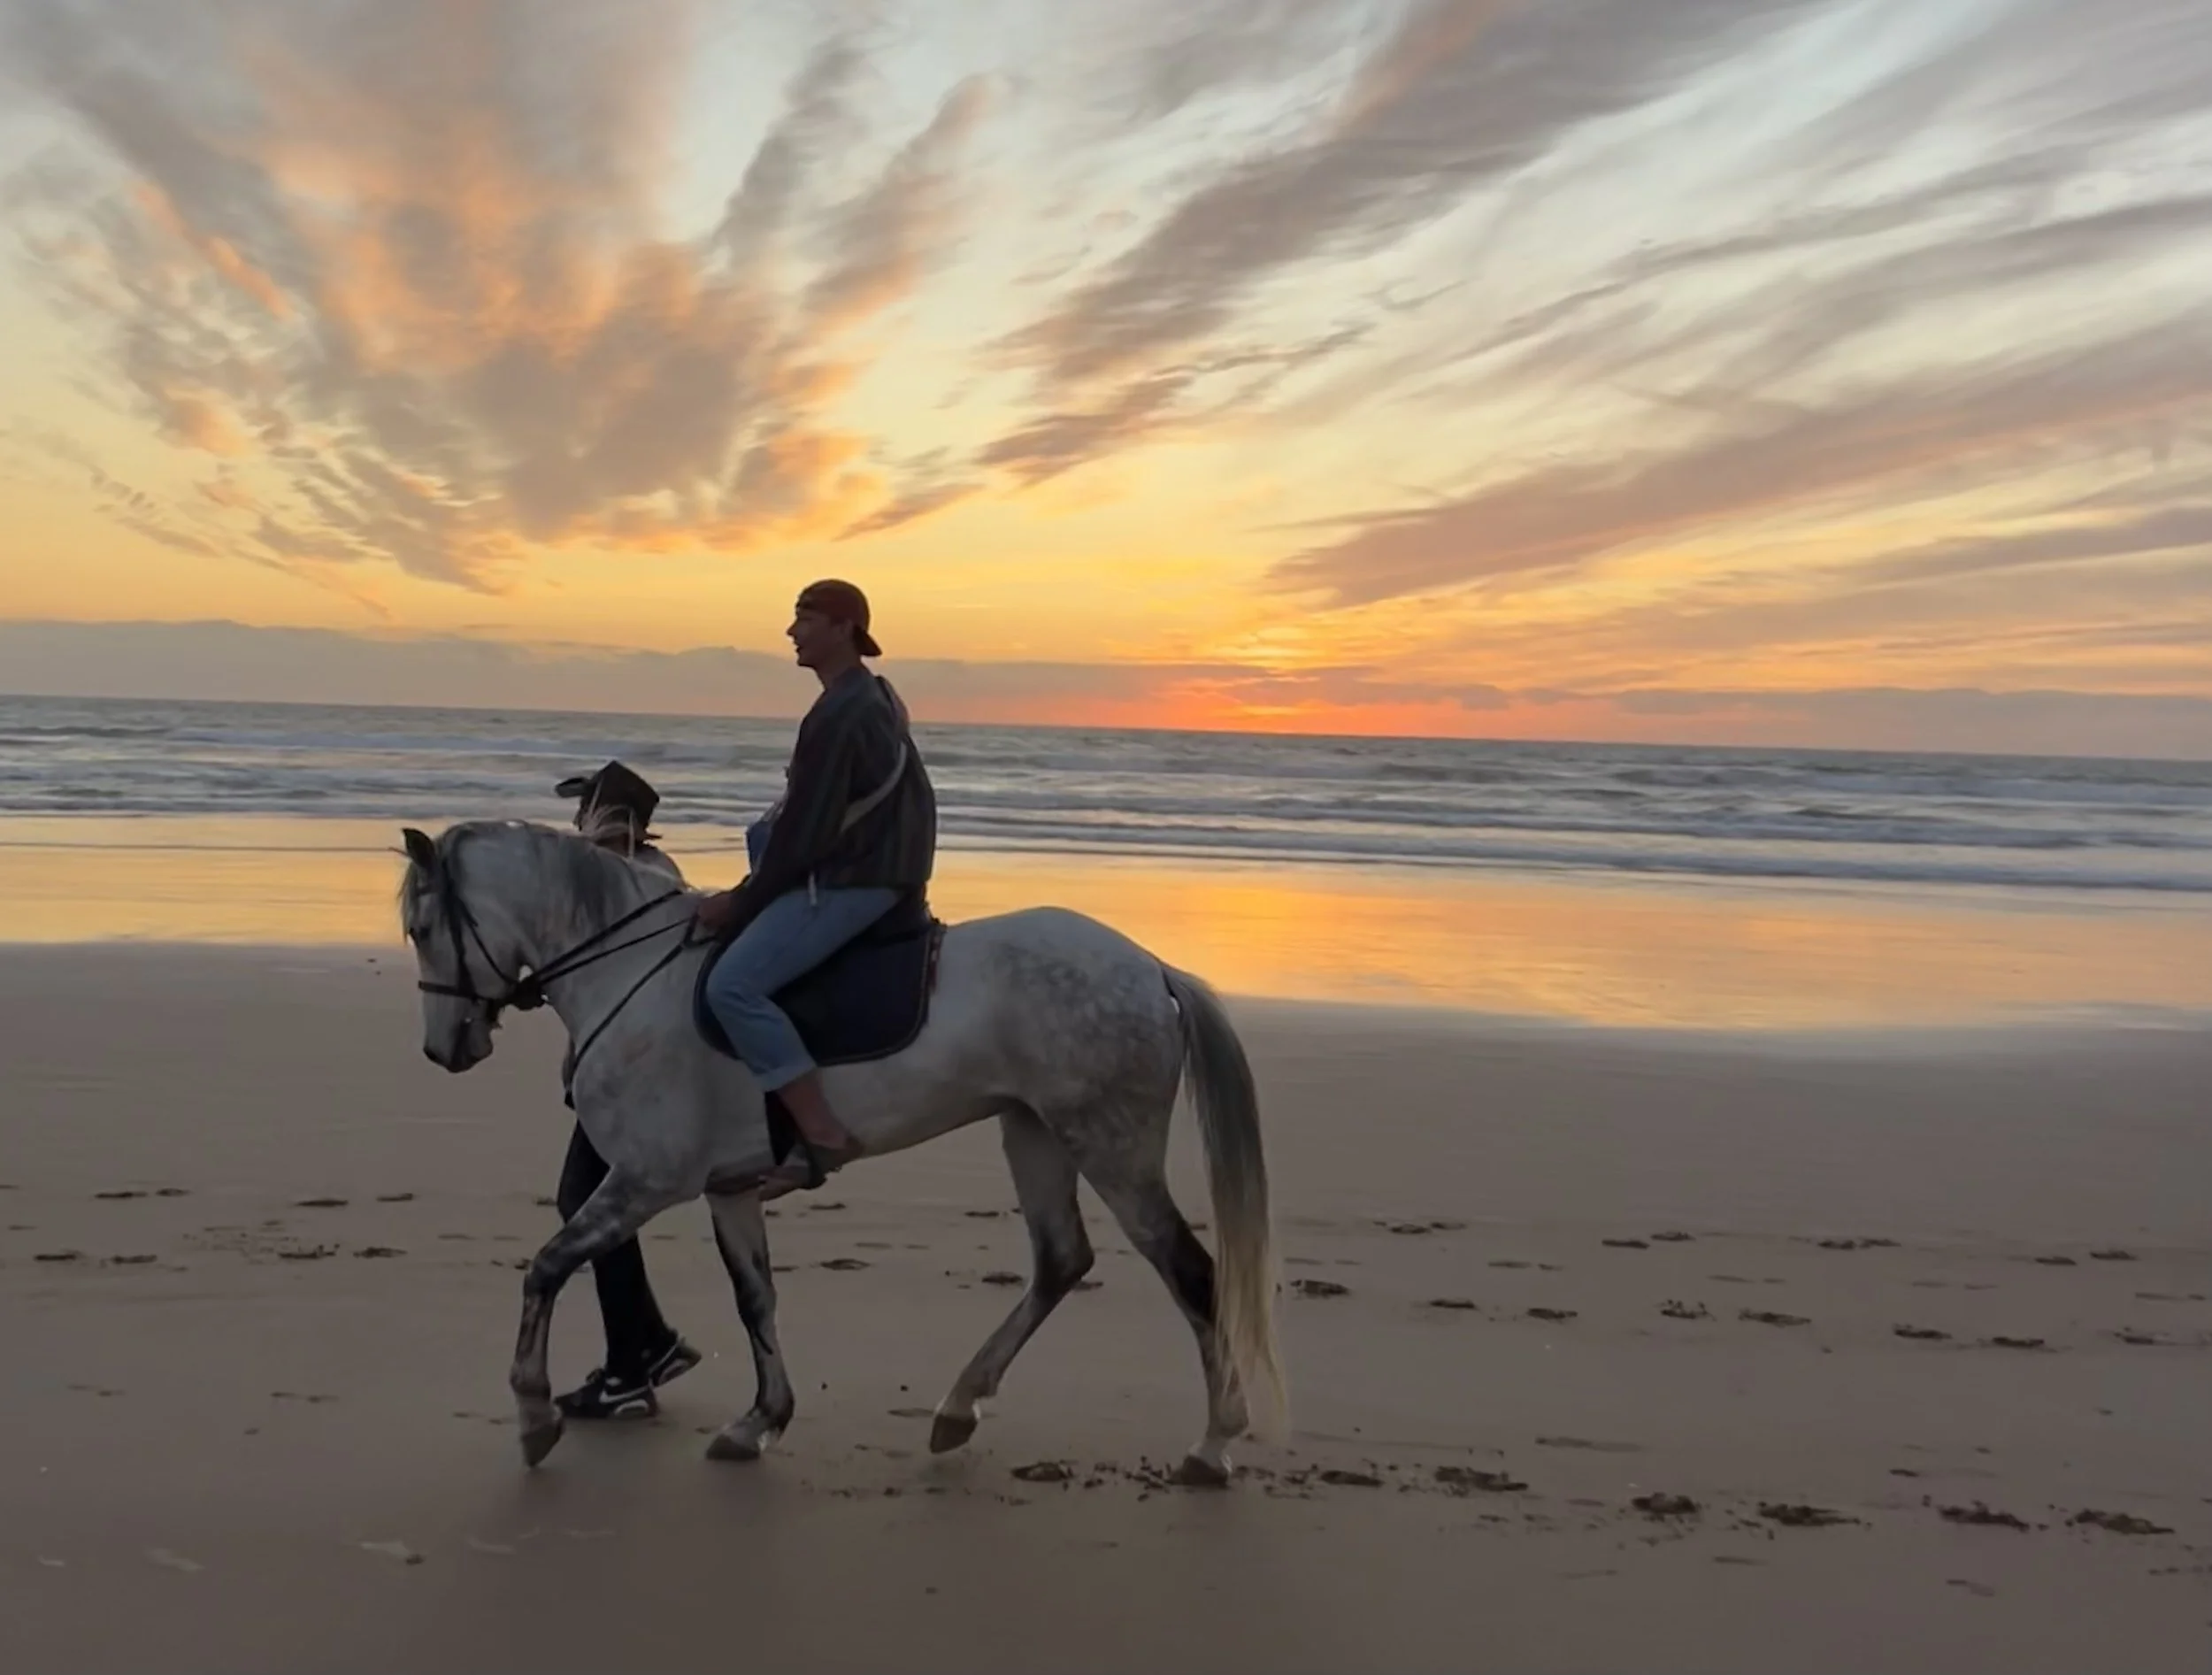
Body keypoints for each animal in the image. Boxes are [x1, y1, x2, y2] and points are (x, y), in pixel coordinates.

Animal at [395, 819, 1287, 1484]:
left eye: (423, 927)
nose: (443, 1048)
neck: (634, 976)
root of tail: (1152, 968)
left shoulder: (645, 1182)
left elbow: (546, 1268)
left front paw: (534, 1414)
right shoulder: (727, 1188)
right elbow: (755, 1299)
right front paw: (759, 1421)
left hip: (1110, 1145)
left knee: (1190, 1273)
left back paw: (1214, 1443)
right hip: (1033, 1132)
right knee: (1061, 1260)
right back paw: (958, 1407)